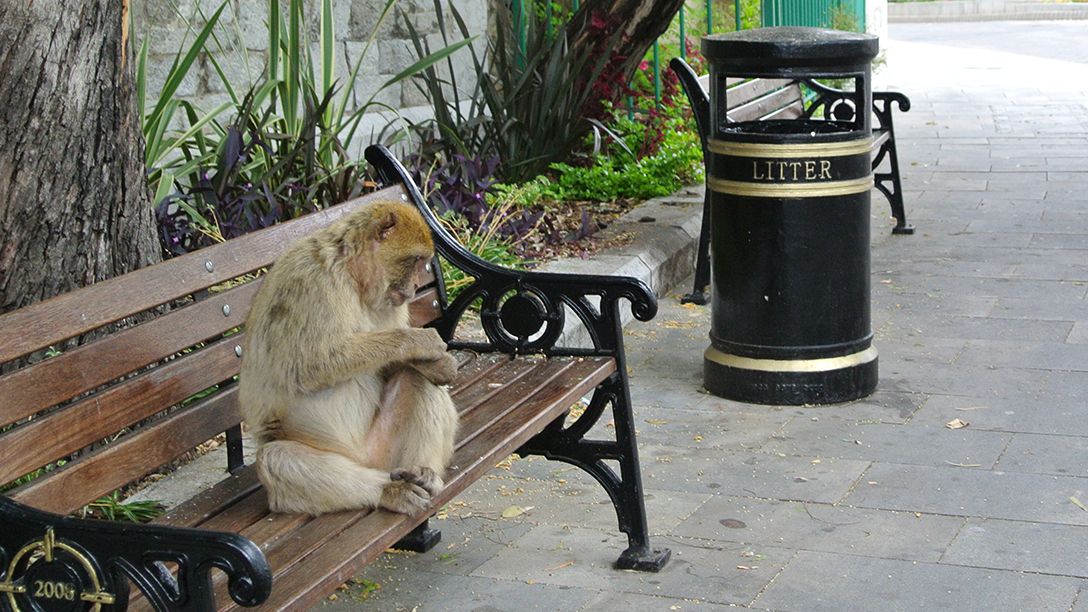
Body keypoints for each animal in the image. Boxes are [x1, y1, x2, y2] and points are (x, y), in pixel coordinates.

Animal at [238, 200, 459, 513]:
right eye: (416, 260)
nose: (417, 285)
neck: (354, 280)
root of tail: (364, 461)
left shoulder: (390, 303)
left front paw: (436, 364)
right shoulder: (312, 282)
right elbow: (308, 367)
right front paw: (420, 343)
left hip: (387, 453)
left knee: (418, 381)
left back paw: (423, 474)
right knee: (275, 459)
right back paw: (387, 490)